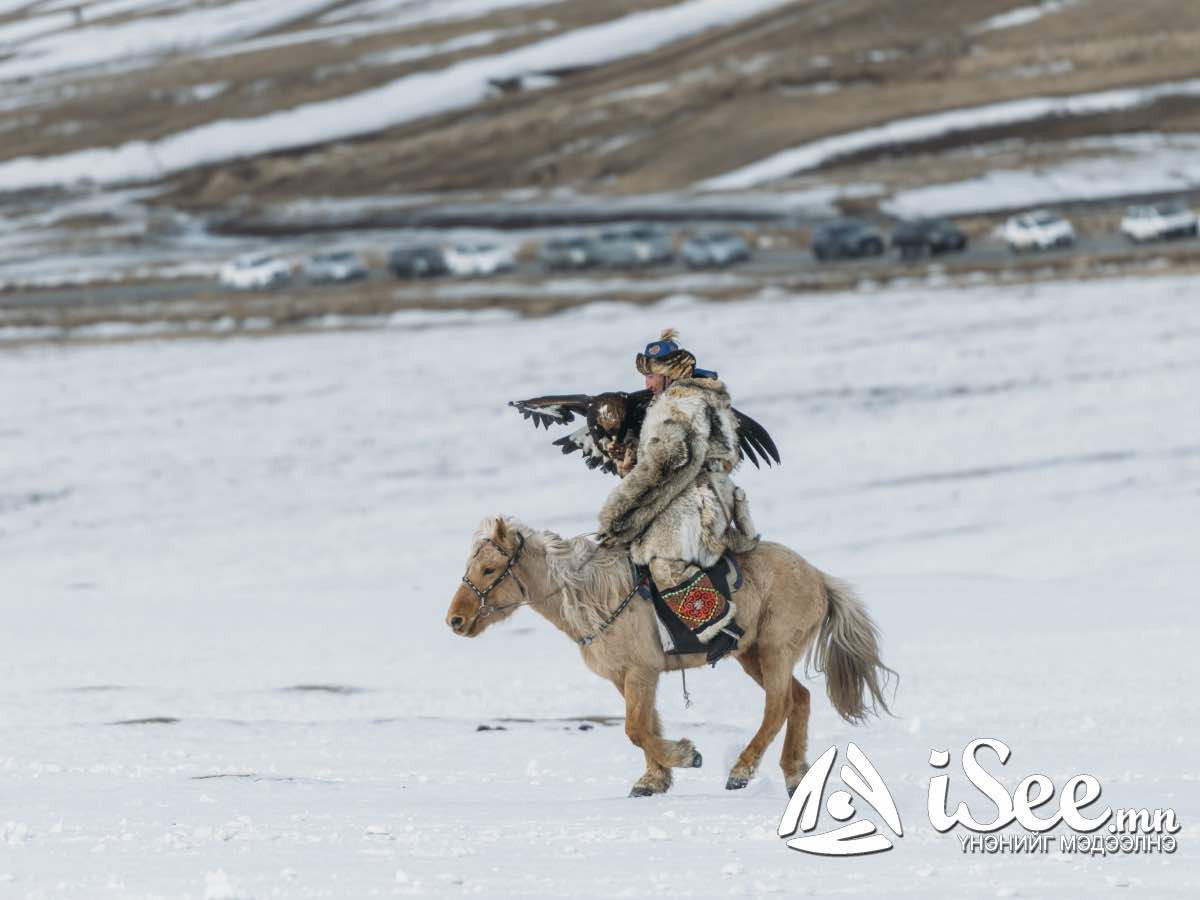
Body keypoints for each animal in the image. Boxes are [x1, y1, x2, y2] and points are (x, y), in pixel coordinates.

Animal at [444, 518, 892, 801]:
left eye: (489, 569)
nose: (455, 620)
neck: (594, 593)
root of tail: (819, 578)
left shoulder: (641, 672)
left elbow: (635, 729)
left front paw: (686, 756)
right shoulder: (626, 678)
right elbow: (646, 726)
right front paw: (653, 780)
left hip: (774, 651)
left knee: (779, 706)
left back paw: (741, 771)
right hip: (751, 656)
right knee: (799, 700)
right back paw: (795, 776)